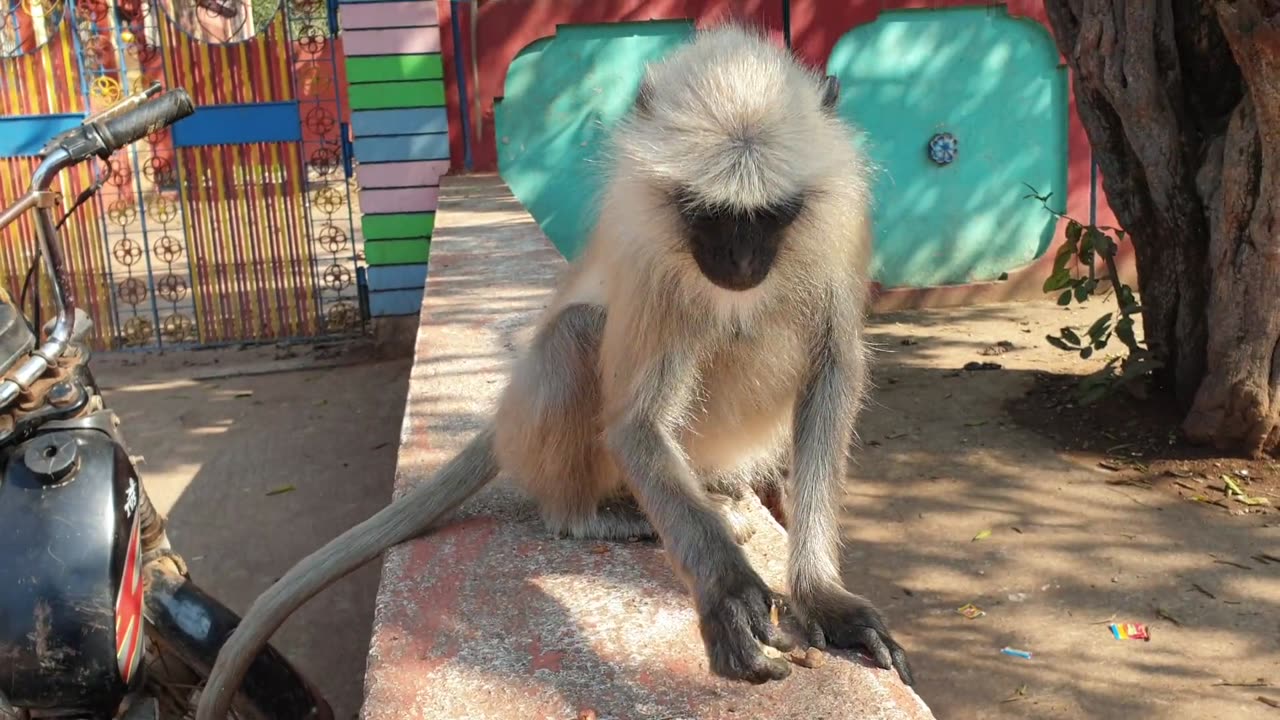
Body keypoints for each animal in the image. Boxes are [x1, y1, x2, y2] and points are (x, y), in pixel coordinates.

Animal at [192, 23, 911, 717]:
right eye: (706, 214)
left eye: (770, 216)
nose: (738, 263)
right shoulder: (650, 250)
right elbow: (635, 425)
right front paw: (727, 592)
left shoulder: (835, 228)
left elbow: (832, 375)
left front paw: (820, 593)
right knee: (576, 334)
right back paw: (589, 516)